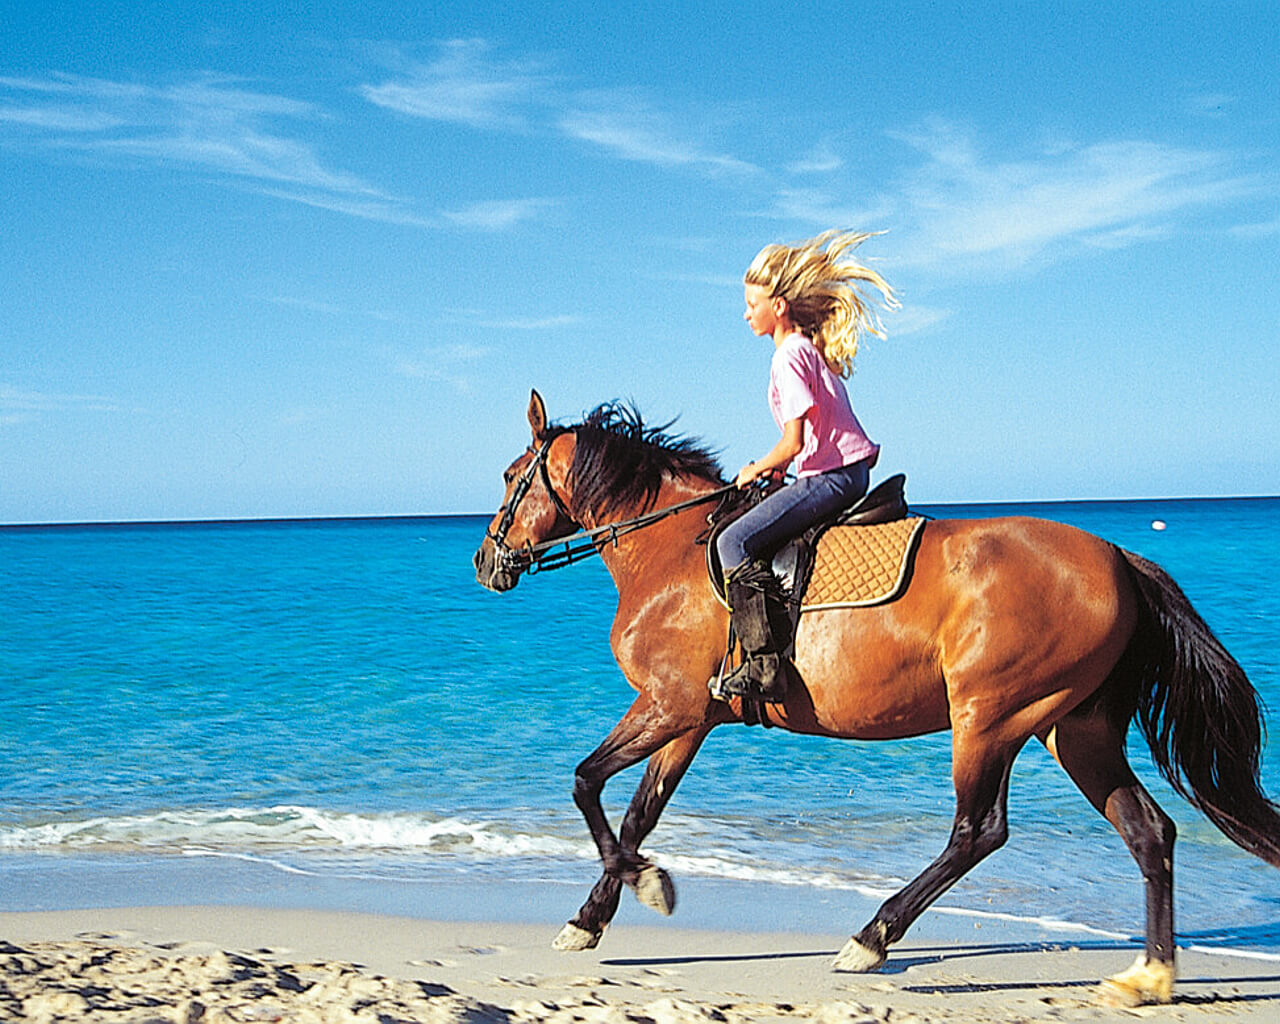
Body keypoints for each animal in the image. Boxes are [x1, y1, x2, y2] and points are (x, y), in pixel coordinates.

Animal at [473, 391, 1280, 1008]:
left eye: (511, 475)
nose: (485, 560)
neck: (671, 552)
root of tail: (1119, 558)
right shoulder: (689, 718)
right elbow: (638, 811)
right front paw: (597, 914)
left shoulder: (668, 706)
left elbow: (586, 783)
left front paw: (644, 887)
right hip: (1073, 727)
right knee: (1149, 830)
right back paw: (1151, 976)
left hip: (990, 716)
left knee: (979, 831)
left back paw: (871, 938)